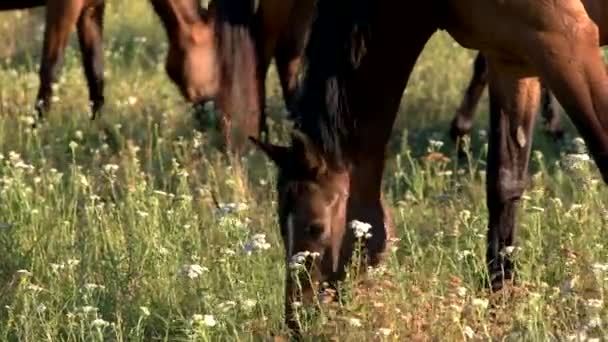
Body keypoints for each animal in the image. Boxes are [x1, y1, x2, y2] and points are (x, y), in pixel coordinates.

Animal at [0, 0, 217, 125]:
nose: (213, 122)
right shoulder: (64, 5)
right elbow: (51, 70)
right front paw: (36, 131)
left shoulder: (90, 8)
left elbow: (95, 73)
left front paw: (96, 129)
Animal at [249, 0, 608, 334]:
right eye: (281, 227)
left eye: (316, 227)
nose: (296, 319)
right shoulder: (510, 59)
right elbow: (504, 184)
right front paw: (498, 303)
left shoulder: (564, 44)